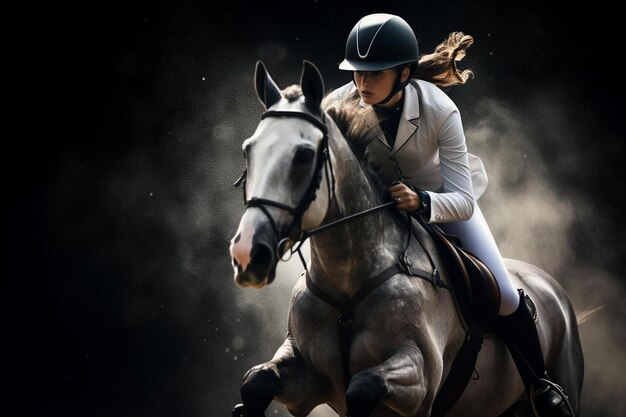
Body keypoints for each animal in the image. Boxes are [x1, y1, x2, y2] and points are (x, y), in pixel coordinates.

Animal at [230, 60, 584, 414]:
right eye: (249, 150)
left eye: (304, 155)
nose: (248, 254)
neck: (347, 280)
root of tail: (550, 285)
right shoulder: (303, 378)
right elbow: (256, 380)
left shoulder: (420, 380)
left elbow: (364, 386)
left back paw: (550, 394)